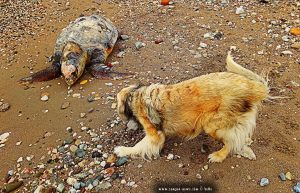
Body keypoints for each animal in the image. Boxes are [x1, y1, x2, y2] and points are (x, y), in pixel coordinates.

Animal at [115, 52, 270, 162]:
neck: (136, 96)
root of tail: (251, 87)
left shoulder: (155, 136)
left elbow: (138, 146)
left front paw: (122, 150)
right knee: (239, 134)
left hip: (212, 124)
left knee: (230, 142)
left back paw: (219, 155)